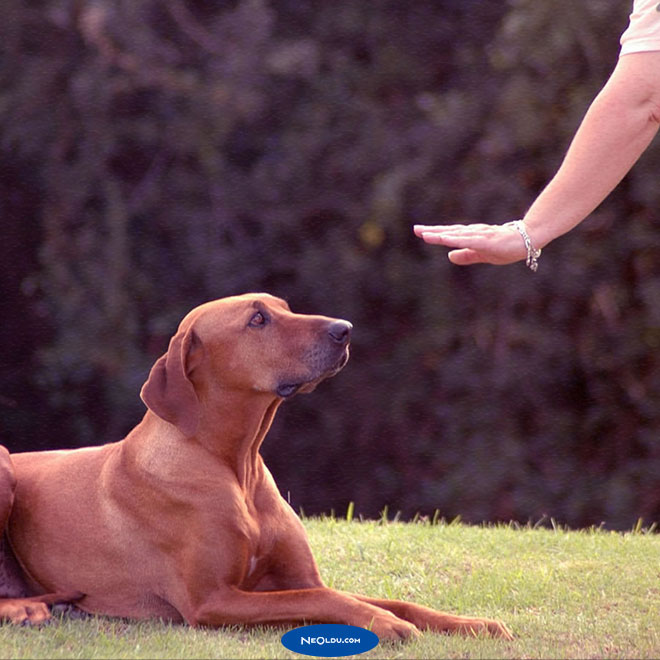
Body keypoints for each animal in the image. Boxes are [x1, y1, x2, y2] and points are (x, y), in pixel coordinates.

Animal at [0, 294, 510, 640]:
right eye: (258, 319)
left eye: (285, 307)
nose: (345, 328)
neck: (235, 467)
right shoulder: (212, 601)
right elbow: (323, 597)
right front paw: (381, 622)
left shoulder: (292, 578)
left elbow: (389, 599)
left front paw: (471, 622)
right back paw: (24, 611)